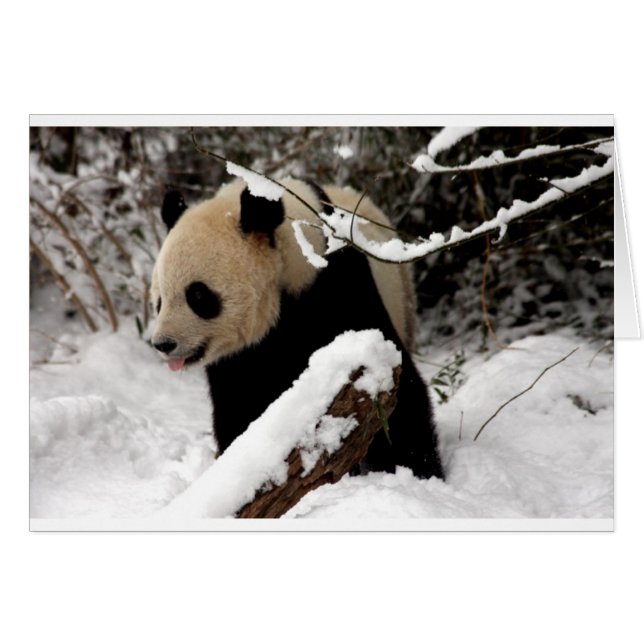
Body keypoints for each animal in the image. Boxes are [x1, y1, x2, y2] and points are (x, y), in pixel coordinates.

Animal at [150, 177, 443, 480]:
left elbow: (396, 390)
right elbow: (239, 405)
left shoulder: (341, 288)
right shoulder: (237, 358)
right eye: (159, 300)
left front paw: (414, 471)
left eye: (198, 295)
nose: (163, 343)